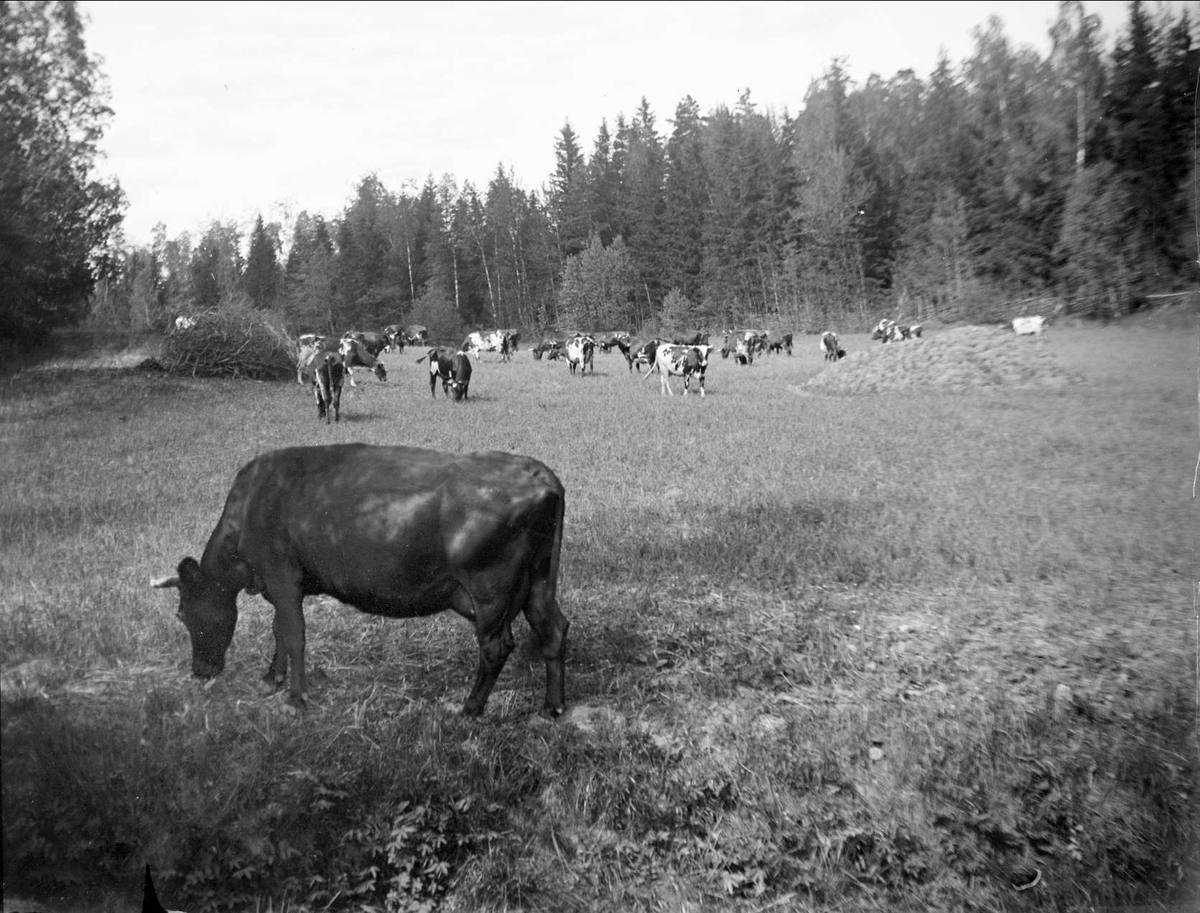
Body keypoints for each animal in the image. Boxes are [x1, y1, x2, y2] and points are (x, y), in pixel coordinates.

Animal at [151, 444, 569, 718]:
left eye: (183, 614)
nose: (200, 672)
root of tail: (538, 472)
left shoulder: (281, 576)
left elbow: (293, 635)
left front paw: (296, 699)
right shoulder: (278, 585)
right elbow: (279, 631)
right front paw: (272, 679)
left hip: (490, 590)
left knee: (496, 647)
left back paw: (470, 708)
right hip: (537, 581)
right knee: (554, 629)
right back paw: (552, 706)